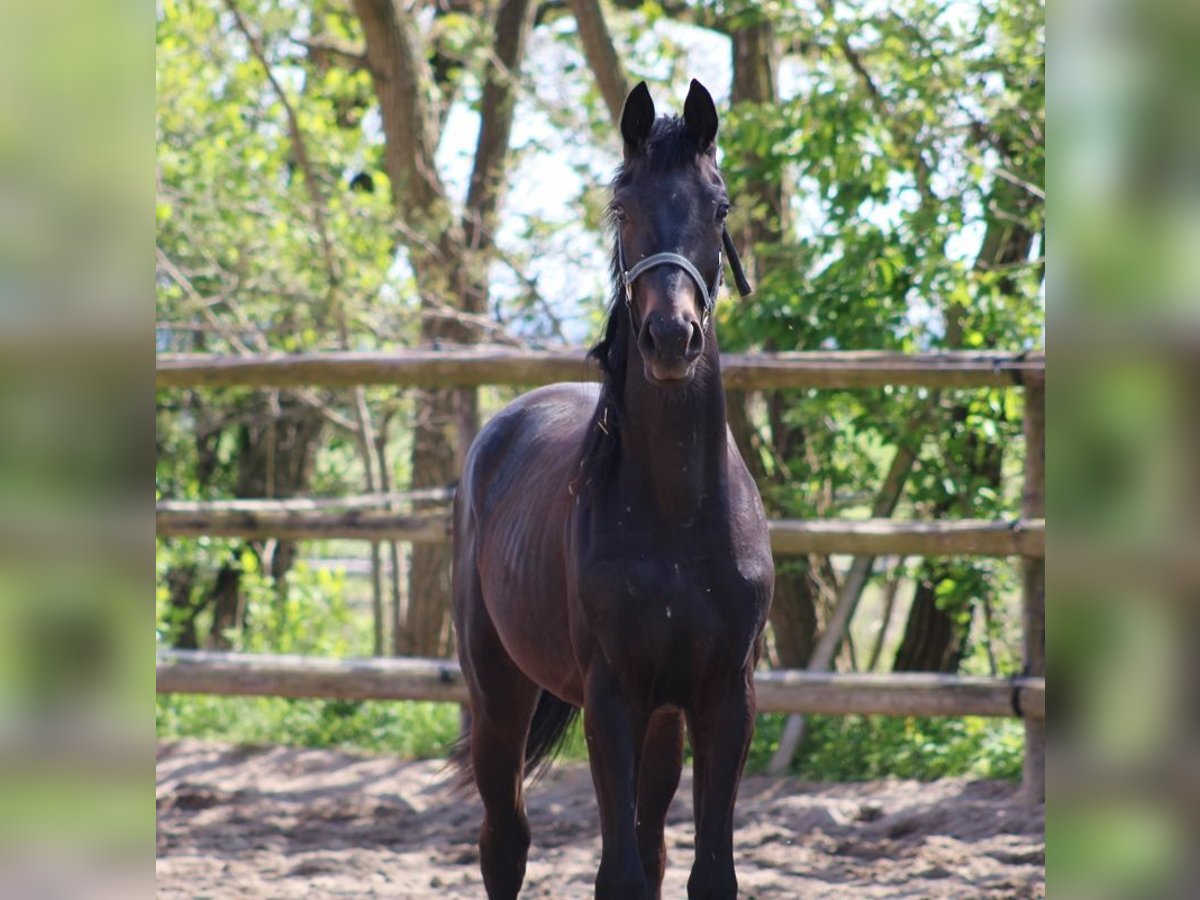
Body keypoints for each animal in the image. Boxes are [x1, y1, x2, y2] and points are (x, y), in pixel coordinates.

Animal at [451, 81, 777, 897]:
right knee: (504, 842)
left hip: (662, 718)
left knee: (652, 842)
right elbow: (618, 874)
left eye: (719, 206)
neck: (679, 513)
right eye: (621, 208)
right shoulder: (611, 698)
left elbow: (705, 873)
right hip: (498, 695)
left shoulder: (725, 697)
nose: (670, 338)